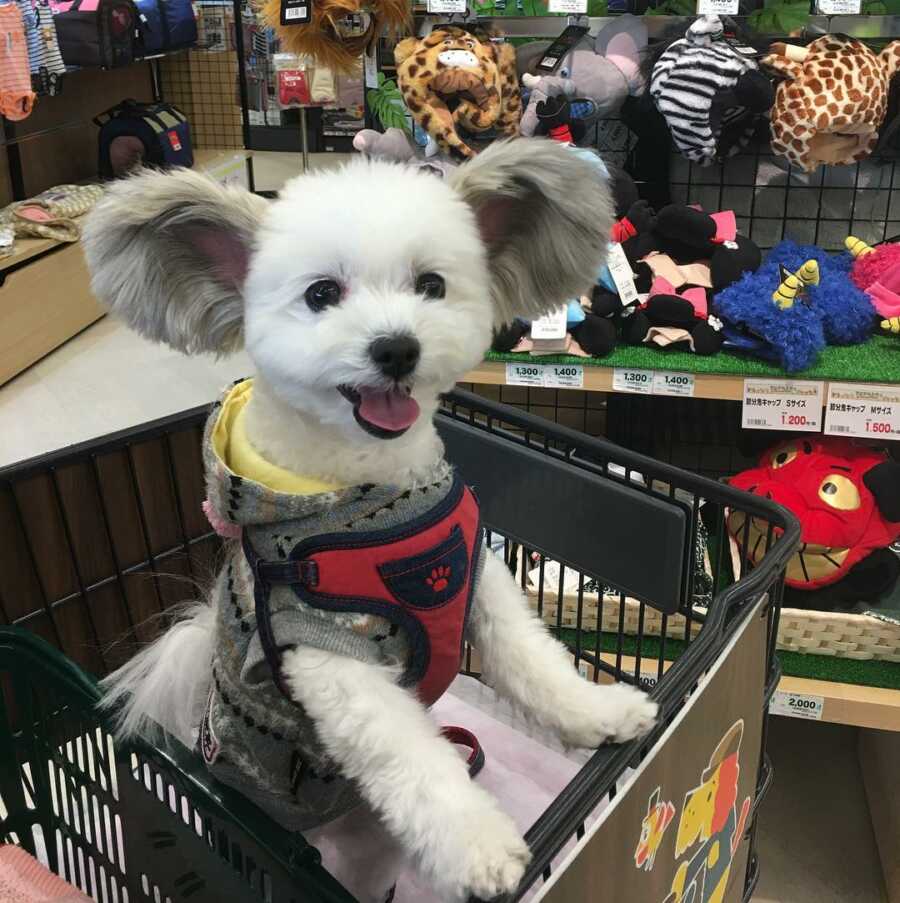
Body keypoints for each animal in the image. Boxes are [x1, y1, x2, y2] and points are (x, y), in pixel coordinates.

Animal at [82, 139, 652, 903]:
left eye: (431, 285)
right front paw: (479, 845)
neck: (369, 488)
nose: (396, 348)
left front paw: (598, 712)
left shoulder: (477, 578)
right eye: (322, 294)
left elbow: (534, 659)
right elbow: (413, 759)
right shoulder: (325, 649)